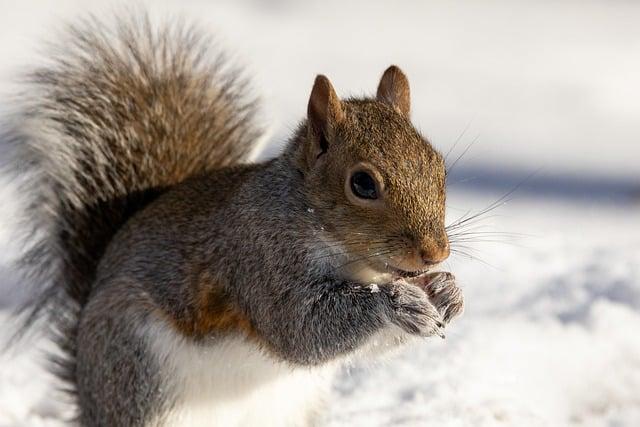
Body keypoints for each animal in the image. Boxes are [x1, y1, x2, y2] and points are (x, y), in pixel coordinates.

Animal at [3, 11, 464, 427]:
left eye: (438, 167)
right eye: (363, 184)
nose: (436, 253)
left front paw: (446, 291)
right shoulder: (257, 259)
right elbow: (299, 329)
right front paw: (399, 301)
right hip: (134, 372)